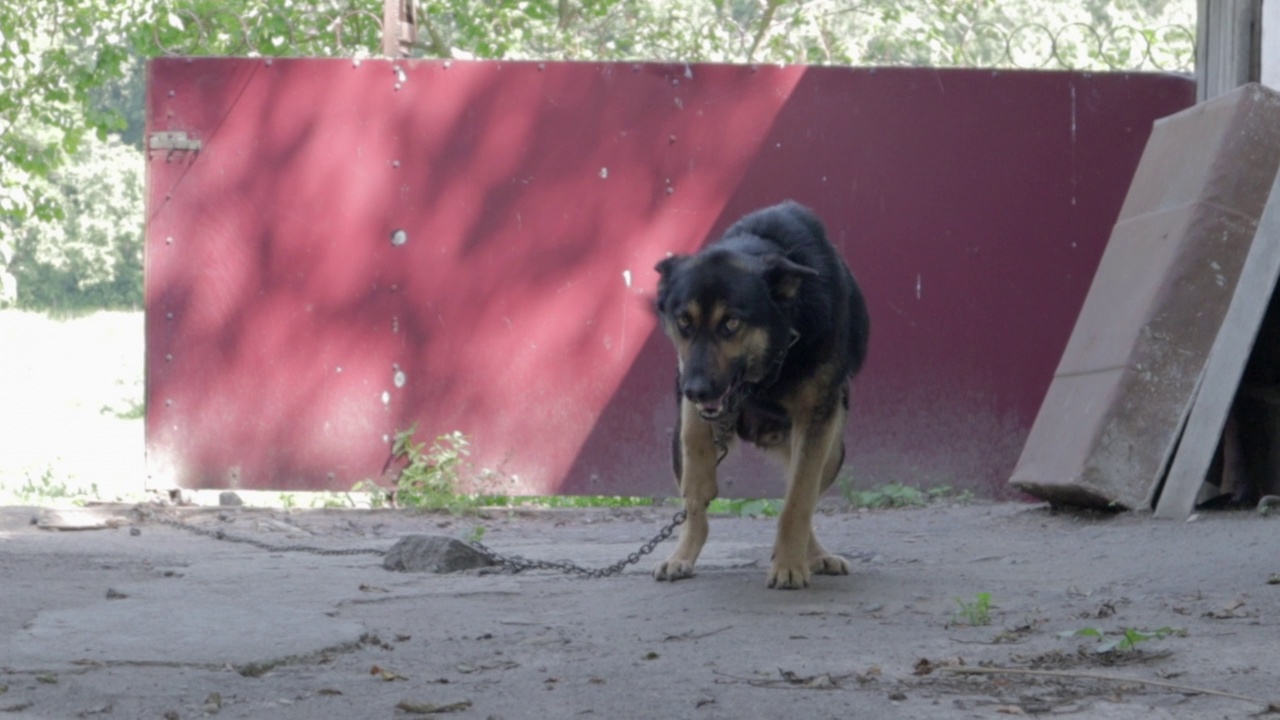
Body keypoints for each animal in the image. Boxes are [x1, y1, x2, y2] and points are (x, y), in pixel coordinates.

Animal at [650, 198, 870, 586]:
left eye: (731, 324)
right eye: (684, 323)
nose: (695, 390)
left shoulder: (816, 419)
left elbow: (797, 502)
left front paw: (789, 565)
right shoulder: (689, 379)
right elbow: (695, 446)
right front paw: (701, 479)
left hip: (832, 450)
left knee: (804, 495)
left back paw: (812, 555)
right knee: (694, 513)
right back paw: (681, 555)